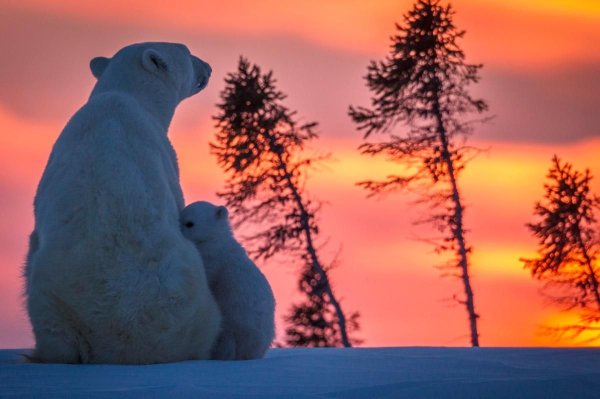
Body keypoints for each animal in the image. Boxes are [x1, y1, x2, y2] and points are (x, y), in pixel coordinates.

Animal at [24, 43, 220, 366]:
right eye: (186, 50)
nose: (208, 67)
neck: (122, 95)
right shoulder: (165, 155)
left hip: (51, 297)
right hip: (189, 297)